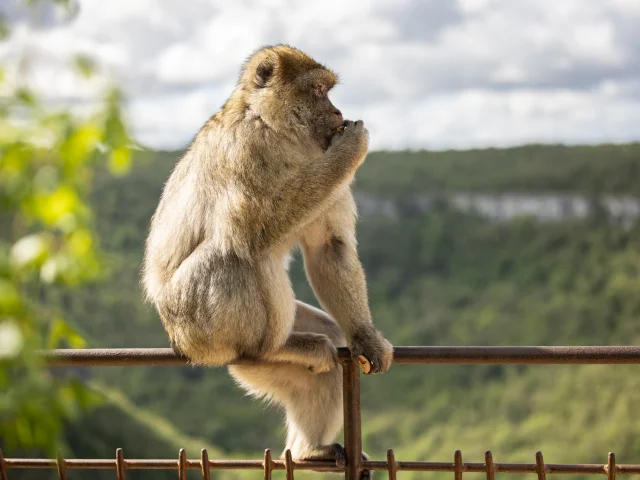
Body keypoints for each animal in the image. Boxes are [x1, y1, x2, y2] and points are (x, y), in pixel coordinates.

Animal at [142, 44, 392, 476]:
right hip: (197, 327)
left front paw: (366, 337)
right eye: (319, 91)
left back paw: (311, 449)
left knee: (324, 345)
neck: (276, 129)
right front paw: (351, 148)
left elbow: (328, 246)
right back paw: (269, 347)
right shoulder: (248, 148)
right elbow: (253, 229)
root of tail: (180, 343)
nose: (338, 113)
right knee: (237, 252)